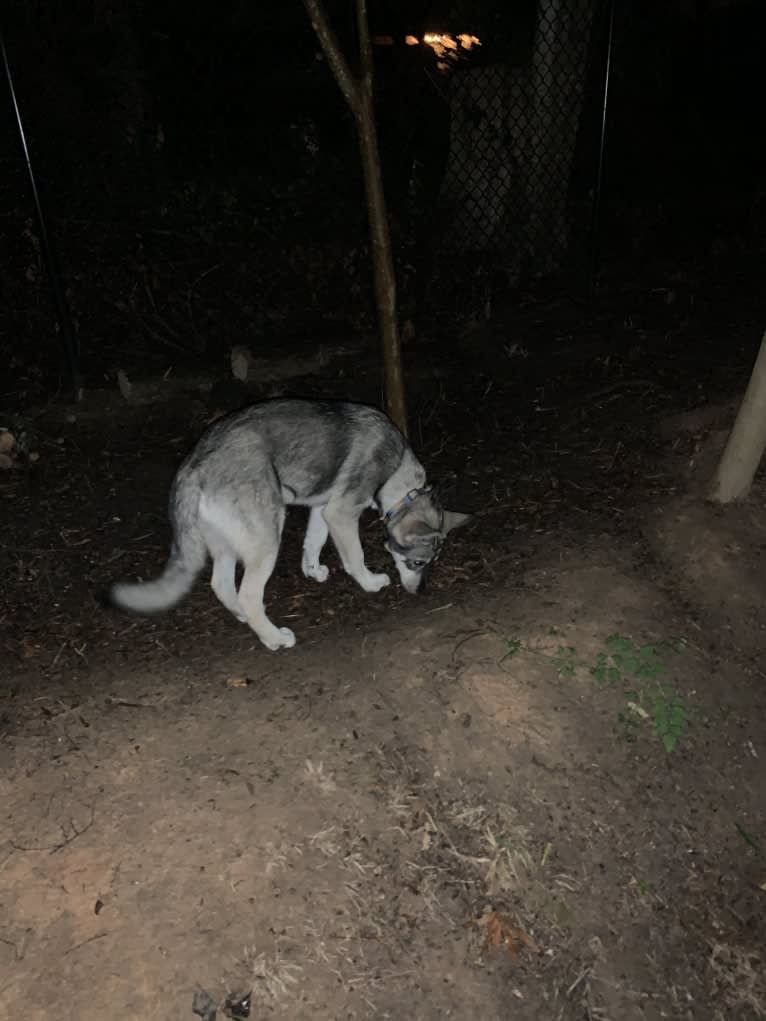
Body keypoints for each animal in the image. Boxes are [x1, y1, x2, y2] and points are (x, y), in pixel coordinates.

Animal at [107, 396, 467, 645]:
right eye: (418, 563)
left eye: (432, 562)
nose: (421, 592)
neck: (400, 481)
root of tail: (194, 468)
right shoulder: (341, 512)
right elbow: (355, 556)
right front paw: (368, 582)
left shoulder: (322, 508)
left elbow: (313, 542)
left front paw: (313, 569)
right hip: (268, 537)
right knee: (248, 594)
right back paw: (274, 639)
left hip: (227, 544)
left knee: (222, 586)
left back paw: (244, 618)